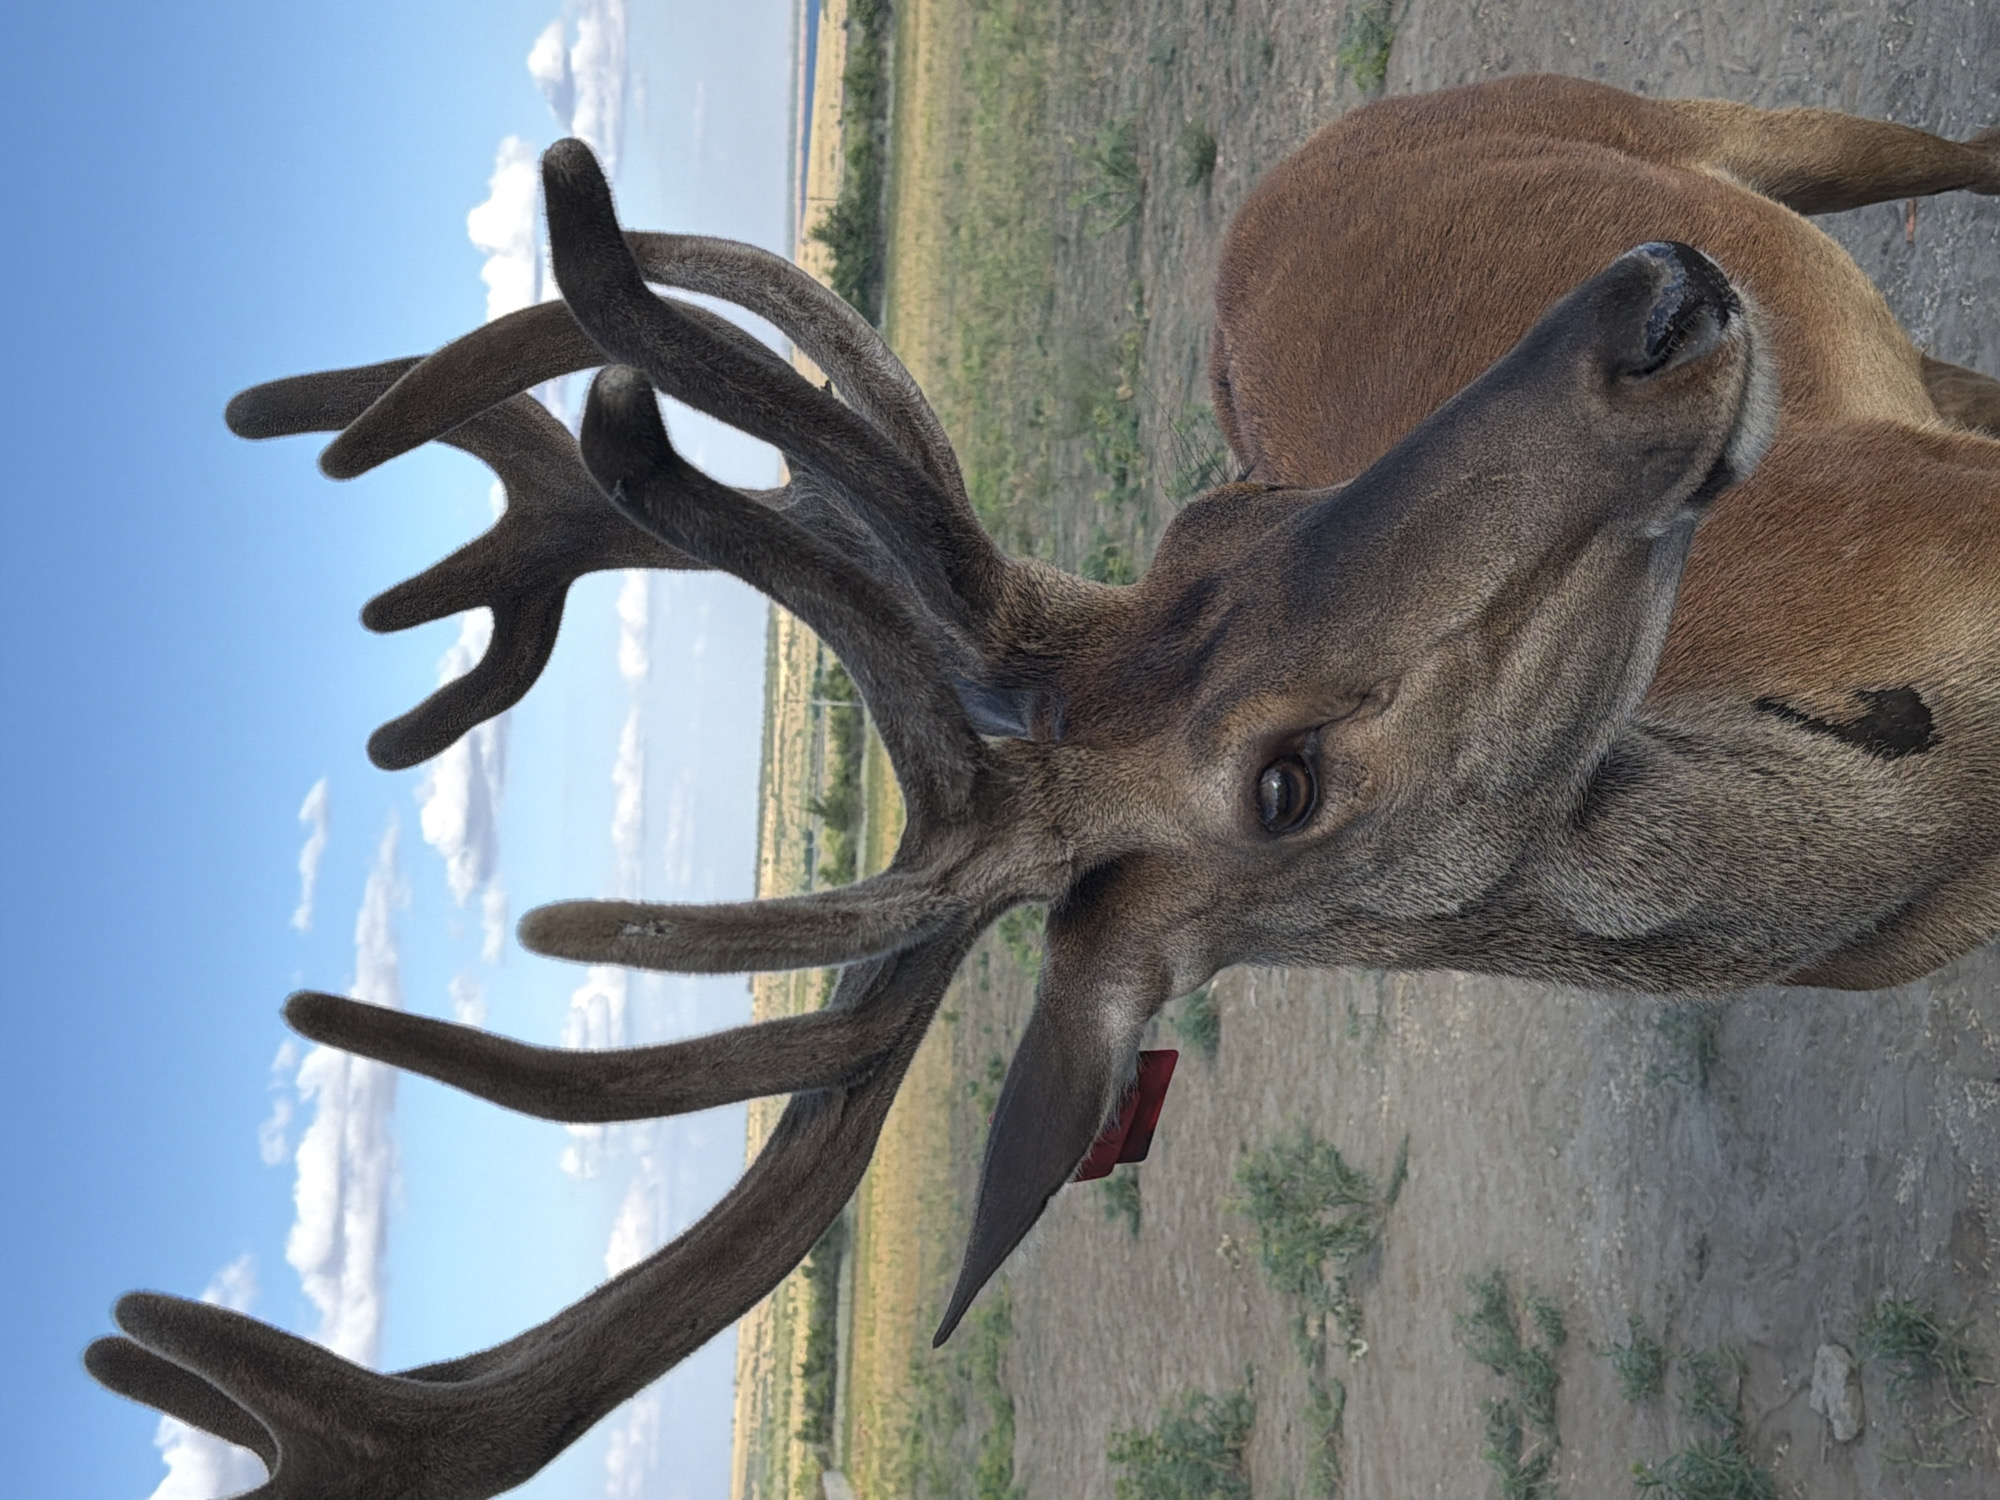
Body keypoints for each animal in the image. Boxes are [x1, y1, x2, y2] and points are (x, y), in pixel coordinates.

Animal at [85, 74, 2000, 1499]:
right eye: (1283, 783)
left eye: (1237, 510)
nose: (1650, 299)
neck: (1930, 827)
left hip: (1707, 120)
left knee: (1937, 164)